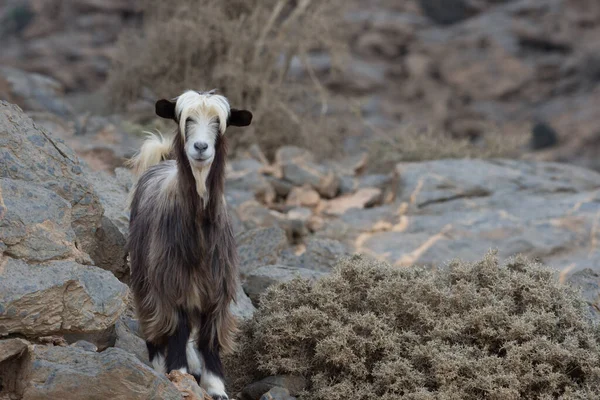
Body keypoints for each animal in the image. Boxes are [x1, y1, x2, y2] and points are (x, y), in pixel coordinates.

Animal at [126, 89, 251, 398]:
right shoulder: (171, 282)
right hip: (144, 276)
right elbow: (178, 328)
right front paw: (178, 372)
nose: (201, 147)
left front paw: (216, 385)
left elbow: (209, 336)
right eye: (185, 119)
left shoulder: (217, 286)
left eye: (221, 123)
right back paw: (160, 363)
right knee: (153, 321)